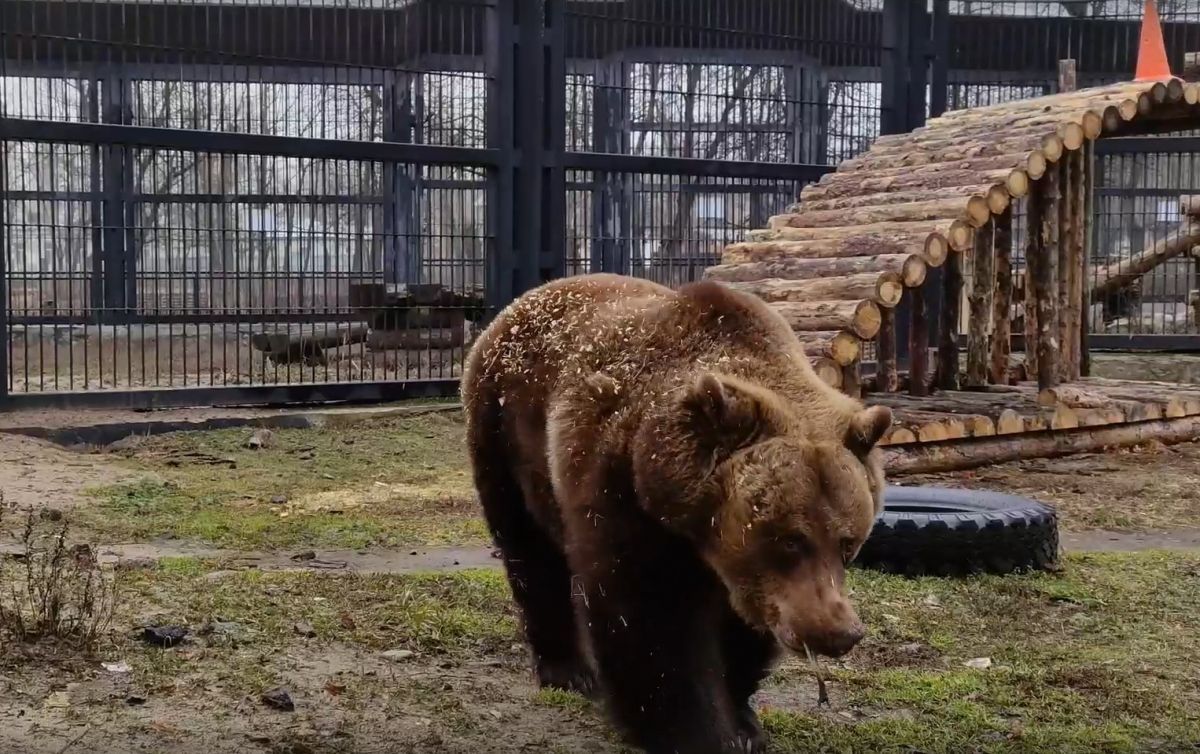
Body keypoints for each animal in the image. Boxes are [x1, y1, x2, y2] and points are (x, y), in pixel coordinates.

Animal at [458, 273, 892, 749]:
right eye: (791, 540)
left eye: (848, 542)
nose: (838, 632)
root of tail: (515, 305)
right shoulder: (622, 490)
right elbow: (652, 623)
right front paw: (695, 731)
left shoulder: (746, 572)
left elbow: (744, 626)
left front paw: (743, 722)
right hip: (505, 433)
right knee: (530, 551)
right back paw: (568, 669)